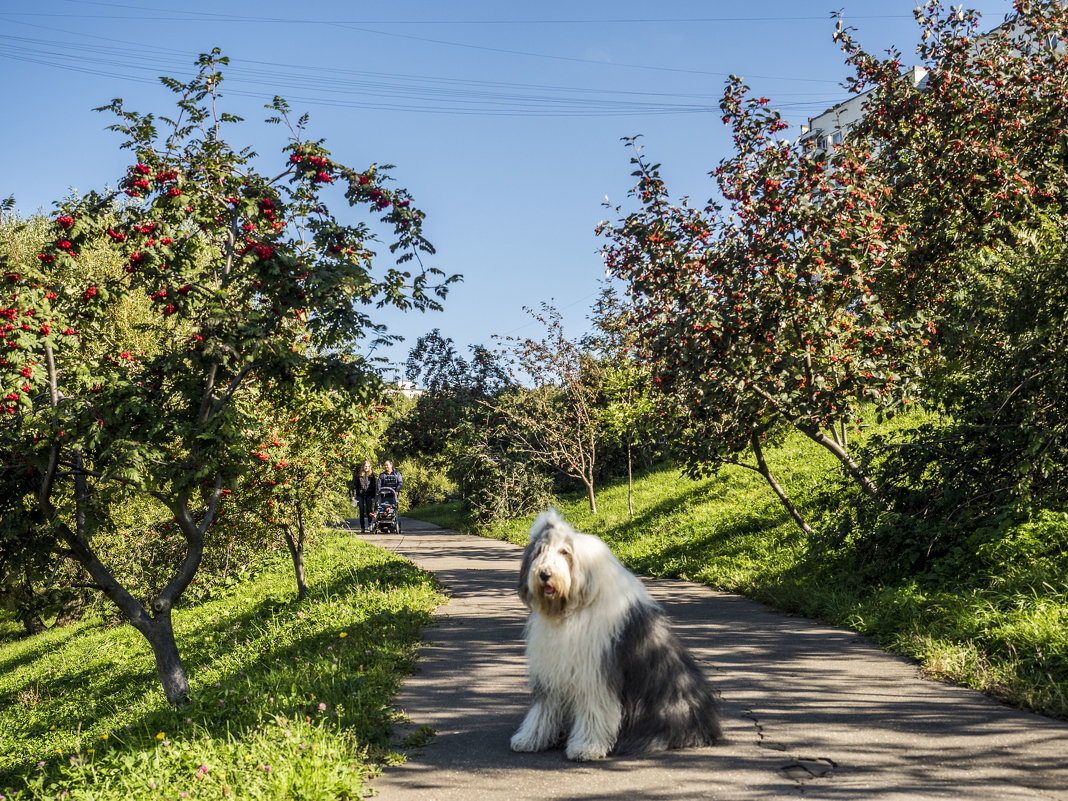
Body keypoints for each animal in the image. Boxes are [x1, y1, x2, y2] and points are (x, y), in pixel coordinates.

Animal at [510, 510, 726, 760]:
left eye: (565, 552)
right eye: (539, 551)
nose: (545, 574)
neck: (572, 608)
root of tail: (708, 725)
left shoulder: (595, 674)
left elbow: (594, 710)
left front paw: (586, 747)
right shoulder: (552, 672)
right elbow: (543, 709)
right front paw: (529, 739)